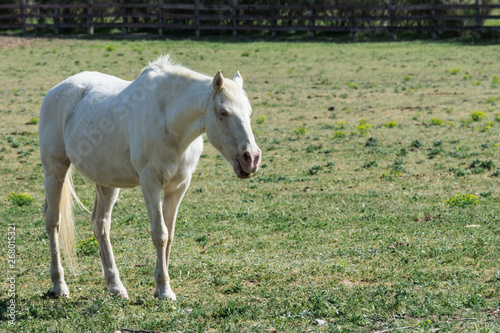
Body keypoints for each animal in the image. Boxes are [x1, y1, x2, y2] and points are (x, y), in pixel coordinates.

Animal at [39, 55, 262, 300]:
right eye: (223, 112)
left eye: (249, 112)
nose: (251, 158)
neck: (170, 122)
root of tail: (57, 90)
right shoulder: (150, 183)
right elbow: (159, 234)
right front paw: (164, 290)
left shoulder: (179, 187)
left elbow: (169, 235)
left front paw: (160, 286)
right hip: (54, 169)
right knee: (53, 221)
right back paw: (59, 285)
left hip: (107, 182)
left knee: (100, 224)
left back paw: (115, 286)